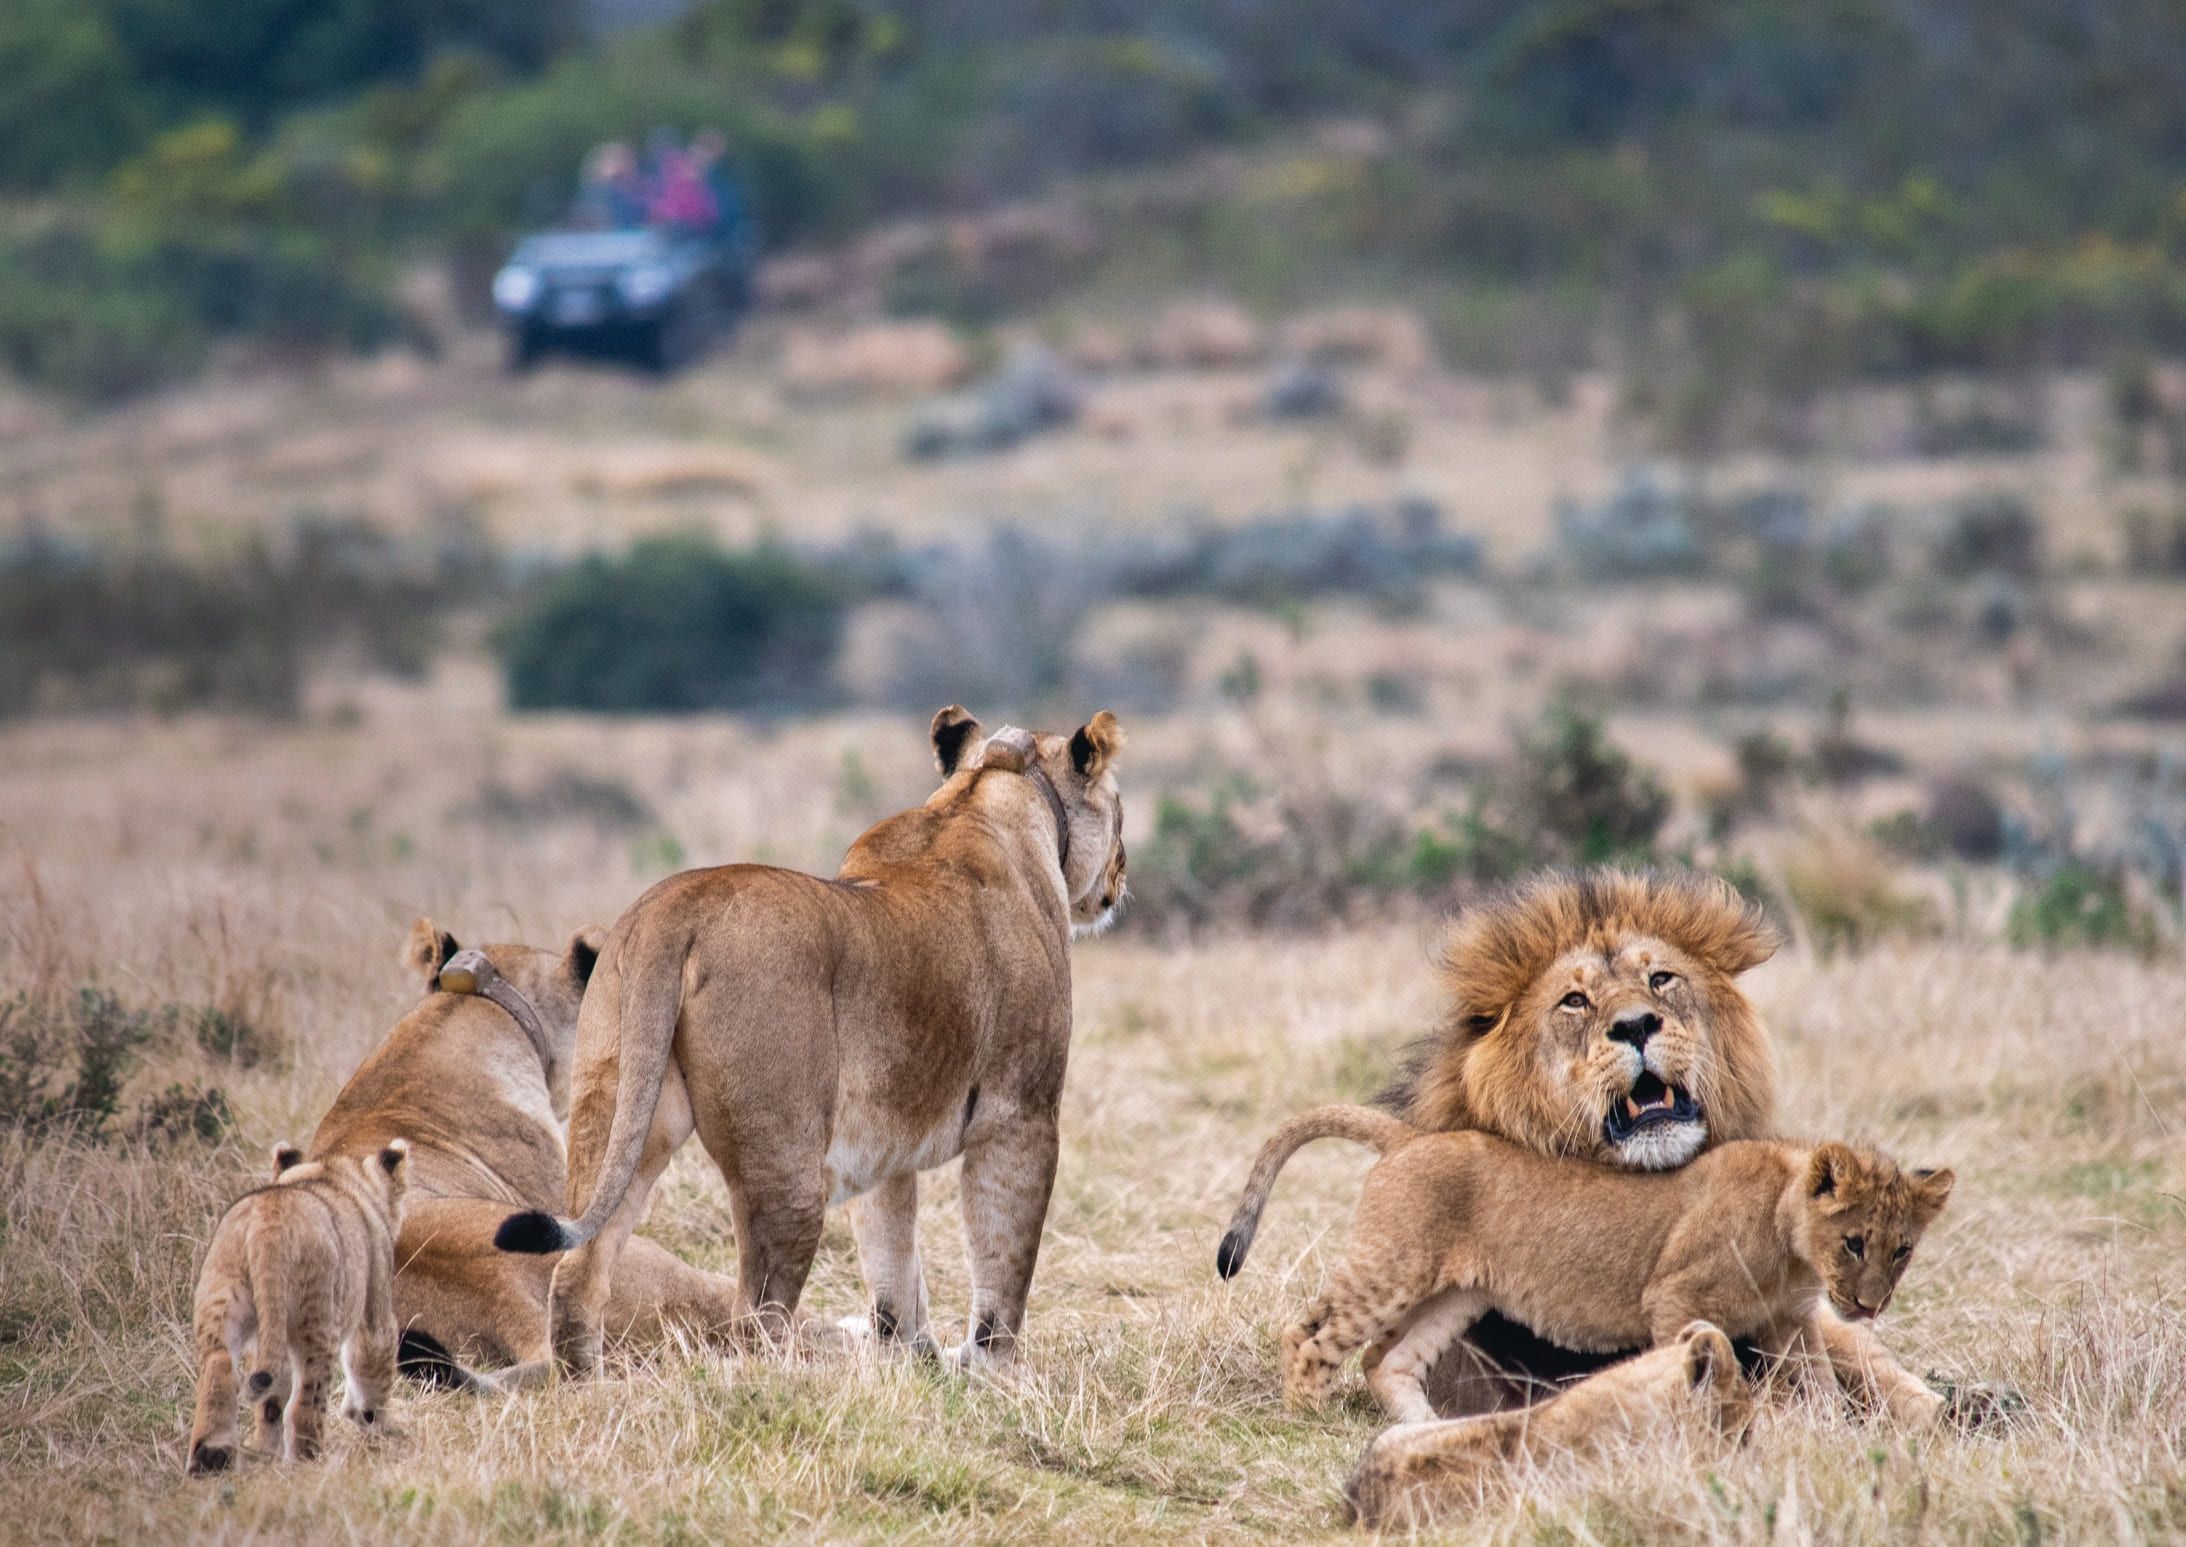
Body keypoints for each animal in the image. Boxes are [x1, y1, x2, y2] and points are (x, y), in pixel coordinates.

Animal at [186, 1139, 411, 1474]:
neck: (329, 1173)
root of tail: (268, 1224)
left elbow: (271, 1401)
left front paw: (266, 1449)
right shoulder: (375, 1305)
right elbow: (373, 1362)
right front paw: (379, 1428)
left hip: (223, 1298)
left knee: (221, 1365)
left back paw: (211, 1457)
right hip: (316, 1317)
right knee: (305, 1401)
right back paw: (309, 1461)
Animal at [495, 706, 1128, 1375]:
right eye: (1122, 811)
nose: (1123, 869)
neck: (987, 790)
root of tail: (675, 908)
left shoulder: (886, 1140)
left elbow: (892, 1258)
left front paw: (915, 1359)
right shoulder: (1021, 1114)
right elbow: (1004, 1255)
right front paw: (994, 1370)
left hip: (622, 1110)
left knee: (580, 1268)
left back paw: (586, 1380)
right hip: (786, 1161)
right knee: (755, 1314)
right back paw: (785, 1380)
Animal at [1217, 1104, 1951, 1421]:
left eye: (1901, 1248)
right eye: (1854, 1241)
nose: (1869, 1305)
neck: (1794, 1247)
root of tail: (1411, 1136)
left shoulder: (1791, 1322)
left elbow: (1823, 1386)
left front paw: (1835, 1442)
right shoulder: (1674, 1298)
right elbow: (1687, 1368)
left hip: (1453, 1294)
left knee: (1385, 1359)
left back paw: (1426, 1430)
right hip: (1392, 1269)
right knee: (1307, 1333)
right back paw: (1307, 1413)